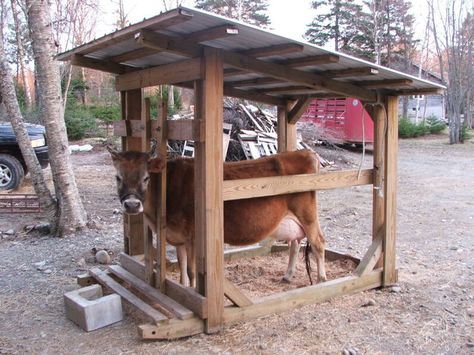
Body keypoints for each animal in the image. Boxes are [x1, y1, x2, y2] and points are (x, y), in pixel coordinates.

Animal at [108, 148, 326, 290]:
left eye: (146, 177)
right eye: (118, 177)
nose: (132, 205)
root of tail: (306, 152)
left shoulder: (193, 237)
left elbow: (192, 271)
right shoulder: (178, 237)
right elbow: (182, 269)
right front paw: (183, 289)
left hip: (307, 213)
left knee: (318, 242)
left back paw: (322, 279)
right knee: (295, 243)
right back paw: (288, 276)